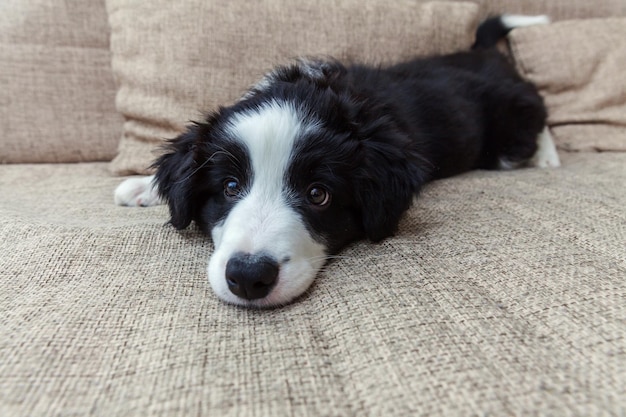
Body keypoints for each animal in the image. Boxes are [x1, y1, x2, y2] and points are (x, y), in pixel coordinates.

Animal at [114, 15, 560, 306]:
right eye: (229, 187)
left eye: (318, 194)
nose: (248, 277)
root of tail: (485, 54)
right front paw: (142, 186)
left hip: (508, 131)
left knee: (538, 119)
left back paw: (548, 158)